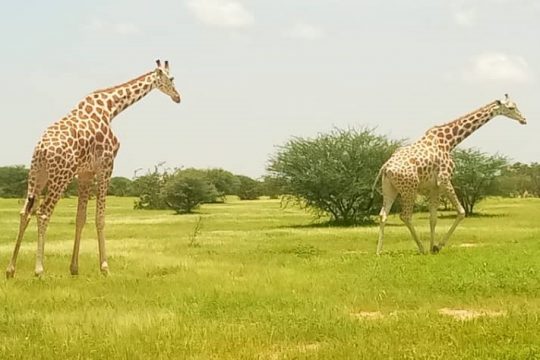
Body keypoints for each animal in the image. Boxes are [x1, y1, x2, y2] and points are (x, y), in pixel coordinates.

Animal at [5, 59, 181, 278]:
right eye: (171, 78)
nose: (178, 97)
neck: (110, 108)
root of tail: (42, 149)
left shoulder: (85, 172)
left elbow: (80, 218)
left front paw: (74, 268)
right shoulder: (106, 166)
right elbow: (100, 218)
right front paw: (105, 267)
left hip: (37, 174)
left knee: (25, 212)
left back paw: (10, 269)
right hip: (60, 176)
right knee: (43, 213)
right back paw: (39, 270)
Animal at [374, 94, 524, 255]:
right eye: (511, 108)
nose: (524, 119)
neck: (449, 141)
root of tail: (385, 168)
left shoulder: (433, 187)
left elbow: (433, 218)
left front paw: (433, 246)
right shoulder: (444, 180)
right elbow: (461, 212)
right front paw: (437, 246)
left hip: (390, 188)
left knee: (383, 214)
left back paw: (379, 252)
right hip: (410, 189)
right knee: (405, 216)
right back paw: (421, 249)